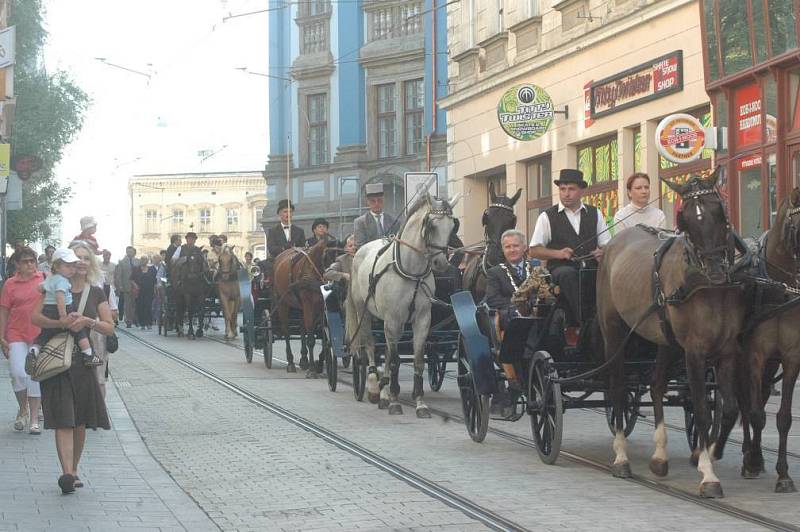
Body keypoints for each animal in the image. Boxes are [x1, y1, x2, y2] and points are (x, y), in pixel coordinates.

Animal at [272, 239, 328, 376]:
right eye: (325, 257)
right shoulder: (308, 302)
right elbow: (311, 337)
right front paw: (312, 370)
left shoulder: (320, 305)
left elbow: (323, 334)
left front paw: (318, 363)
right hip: (282, 303)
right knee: (286, 331)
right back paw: (291, 363)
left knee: (302, 326)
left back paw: (303, 360)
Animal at [346, 191, 460, 416]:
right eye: (431, 225)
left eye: (453, 226)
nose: (441, 263)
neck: (411, 270)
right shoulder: (393, 319)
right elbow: (396, 361)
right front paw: (394, 401)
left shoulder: (422, 320)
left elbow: (417, 360)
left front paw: (420, 403)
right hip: (365, 312)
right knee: (371, 346)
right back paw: (375, 387)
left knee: (386, 353)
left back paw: (384, 390)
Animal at [596, 169, 748, 498]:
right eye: (685, 220)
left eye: (720, 211)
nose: (715, 269)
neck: (705, 285)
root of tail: (614, 244)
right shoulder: (695, 352)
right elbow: (702, 409)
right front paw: (708, 474)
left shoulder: (728, 350)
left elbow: (729, 408)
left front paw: (705, 453)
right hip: (614, 332)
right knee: (617, 389)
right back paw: (621, 458)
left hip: (666, 341)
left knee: (655, 385)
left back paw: (659, 457)